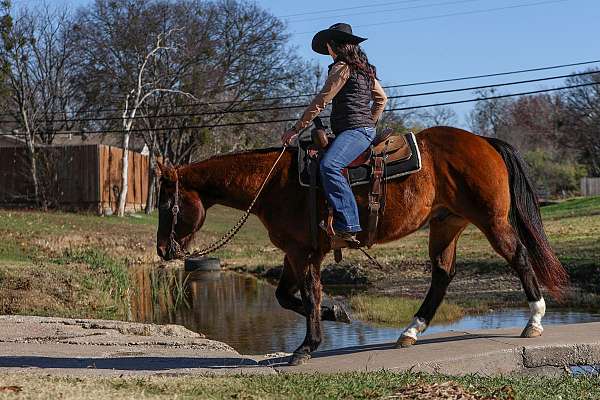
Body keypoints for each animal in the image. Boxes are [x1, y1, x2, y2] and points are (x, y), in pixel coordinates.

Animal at [154, 126, 568, 366]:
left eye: (164, 204)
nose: (163, 250)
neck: (273, 183)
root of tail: (484, 141)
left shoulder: (303, 253)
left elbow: (308, 295)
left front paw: (307, 347)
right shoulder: (296, 251)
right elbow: (287, 296)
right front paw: (338, 314)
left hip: (490, 221)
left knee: (518, 257)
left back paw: (534, 321)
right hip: (446, 224)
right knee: (442, 275)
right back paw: (410, 331)